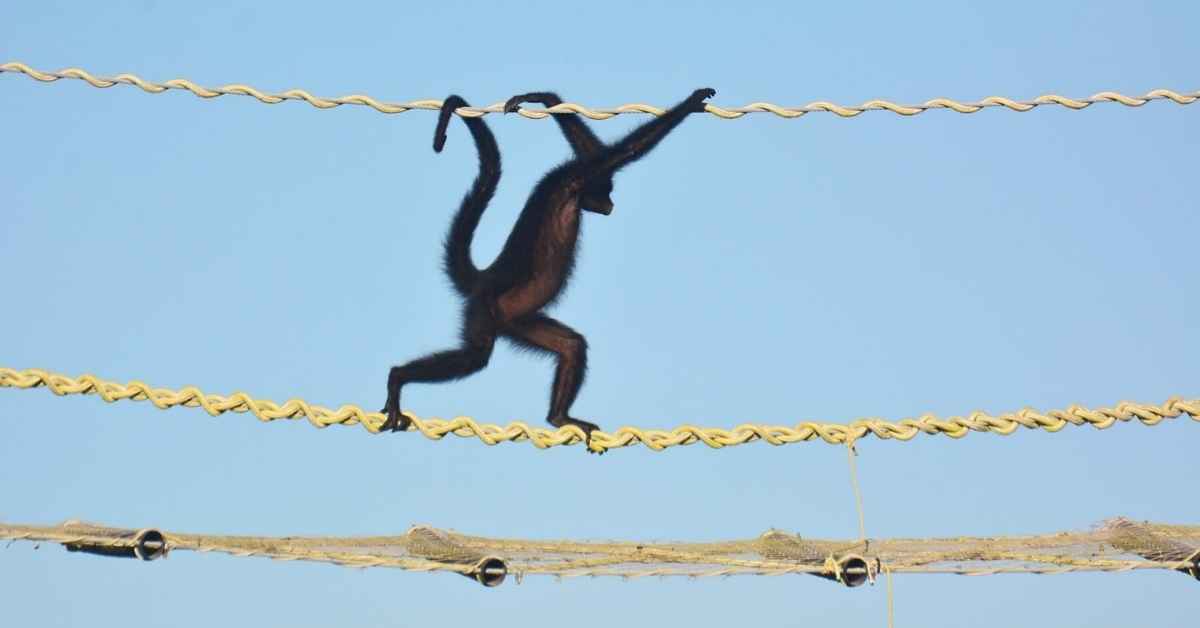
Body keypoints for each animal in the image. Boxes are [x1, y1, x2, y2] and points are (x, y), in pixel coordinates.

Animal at [381, 87, 716, 450]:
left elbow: (592, 145)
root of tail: (485, 277)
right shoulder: (578, 177)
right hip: (486, 308)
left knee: (571, 346)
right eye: (607, 191)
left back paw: (559, 417)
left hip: (516, 320)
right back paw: (398, 377)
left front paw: (545, 99)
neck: (568, 185)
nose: (611, 204)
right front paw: (692, 101)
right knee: (476, 356)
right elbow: (626, 150)